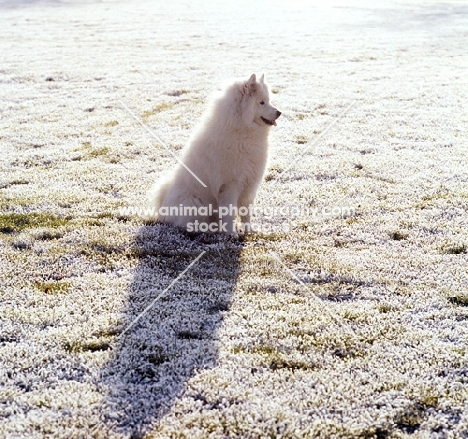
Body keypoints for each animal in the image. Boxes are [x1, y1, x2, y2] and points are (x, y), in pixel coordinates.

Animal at [149, 73, 282, 237]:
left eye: (268, 101)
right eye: (261, 102)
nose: (279, 112)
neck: (241, 130)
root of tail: (163, 206)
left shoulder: (250, 183)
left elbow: (246, 212)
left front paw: (249, 231)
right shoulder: (230, 185)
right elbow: (230, 213)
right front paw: (231, 233)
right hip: (194, 203)